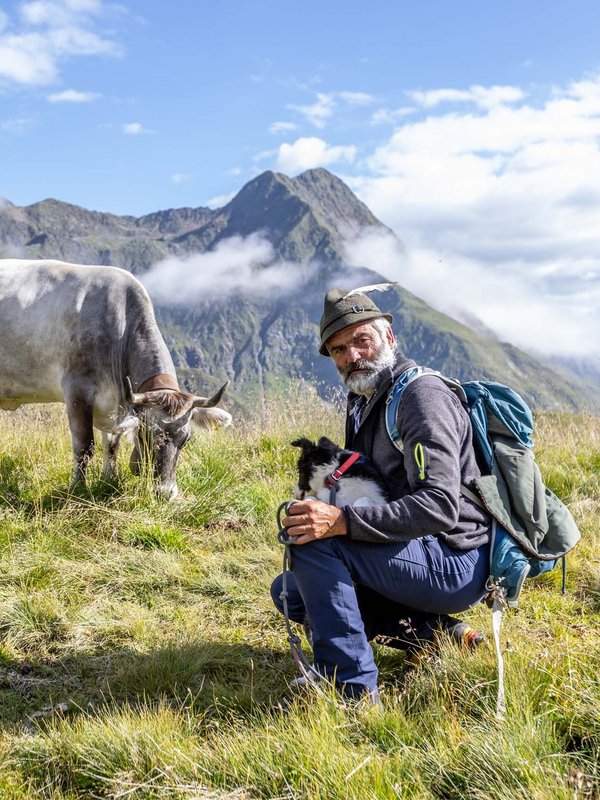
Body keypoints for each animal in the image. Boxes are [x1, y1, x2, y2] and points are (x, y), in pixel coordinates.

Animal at [0, 260, 232, 500]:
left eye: (185, 440)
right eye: (146, 435)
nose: (165, 493)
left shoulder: (114, 405)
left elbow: (112, 445)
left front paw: (108, 480)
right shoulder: (77, 391)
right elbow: (84, 446)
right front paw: (78, 488)